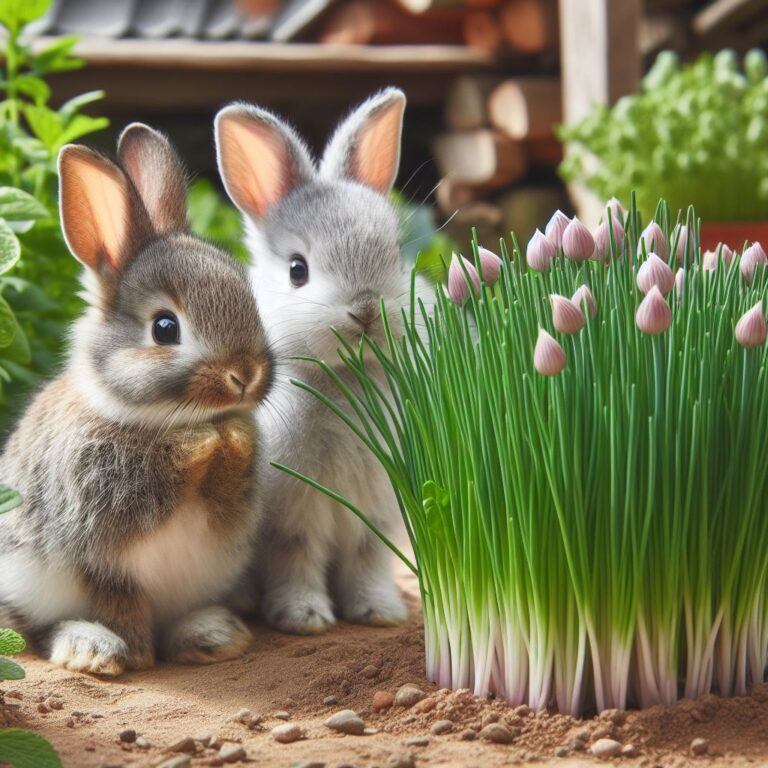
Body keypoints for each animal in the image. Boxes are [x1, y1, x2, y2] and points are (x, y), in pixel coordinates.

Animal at [216, 87, 432, 632]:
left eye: (396, 254)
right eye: (298, 270)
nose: (365, 310)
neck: (343, 380)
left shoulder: (376, 516)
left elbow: (367, 560)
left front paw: (379, 612)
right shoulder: (292, 517)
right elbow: (297, 558)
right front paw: (304, 618)